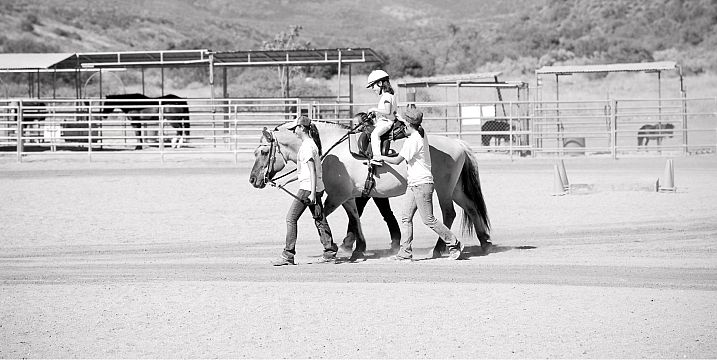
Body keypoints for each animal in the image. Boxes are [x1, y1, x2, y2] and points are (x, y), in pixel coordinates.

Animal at [249, 115, 490, 258]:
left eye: (263, 151)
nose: (253, 179)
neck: (330, 150)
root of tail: (458, 143)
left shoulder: (336, 196)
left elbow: (325, 215)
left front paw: (336, 247)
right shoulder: (348, 196)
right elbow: (355, 217)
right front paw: (357, 248)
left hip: (443, 189)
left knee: (449, 214)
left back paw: (440, 248)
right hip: (455, 189)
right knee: (471, 208)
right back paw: (485, 242)